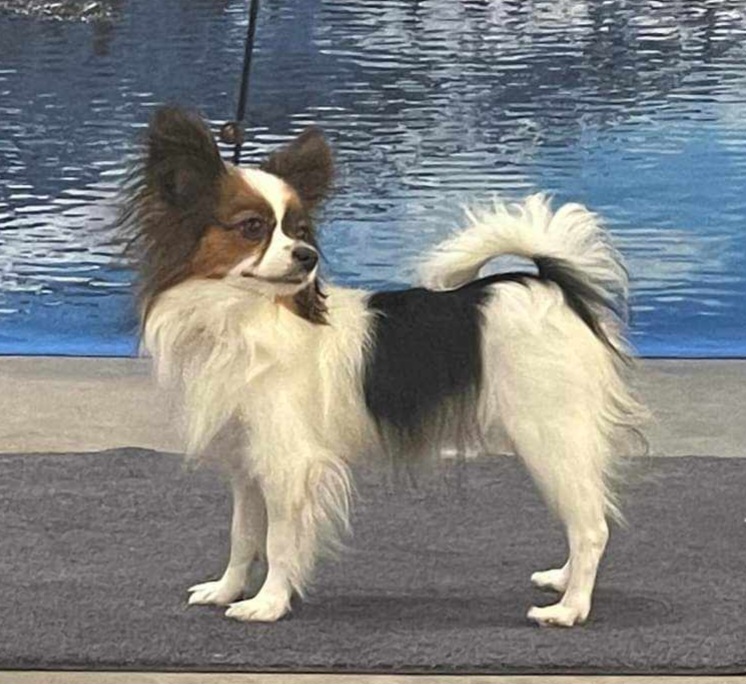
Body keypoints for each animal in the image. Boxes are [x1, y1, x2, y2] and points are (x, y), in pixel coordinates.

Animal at [119, 106, 647, 628]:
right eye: (252, 227)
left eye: (300, 232)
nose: (308, 256)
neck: (244, 318)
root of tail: (553, 286)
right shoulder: (249, 461)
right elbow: (242, 536)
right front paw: (226, 590)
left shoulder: (291, 463)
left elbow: (279, 541)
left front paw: (266, 604)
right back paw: (562, 579)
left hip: (549, 433)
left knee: (592, 526)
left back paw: (570, 608)